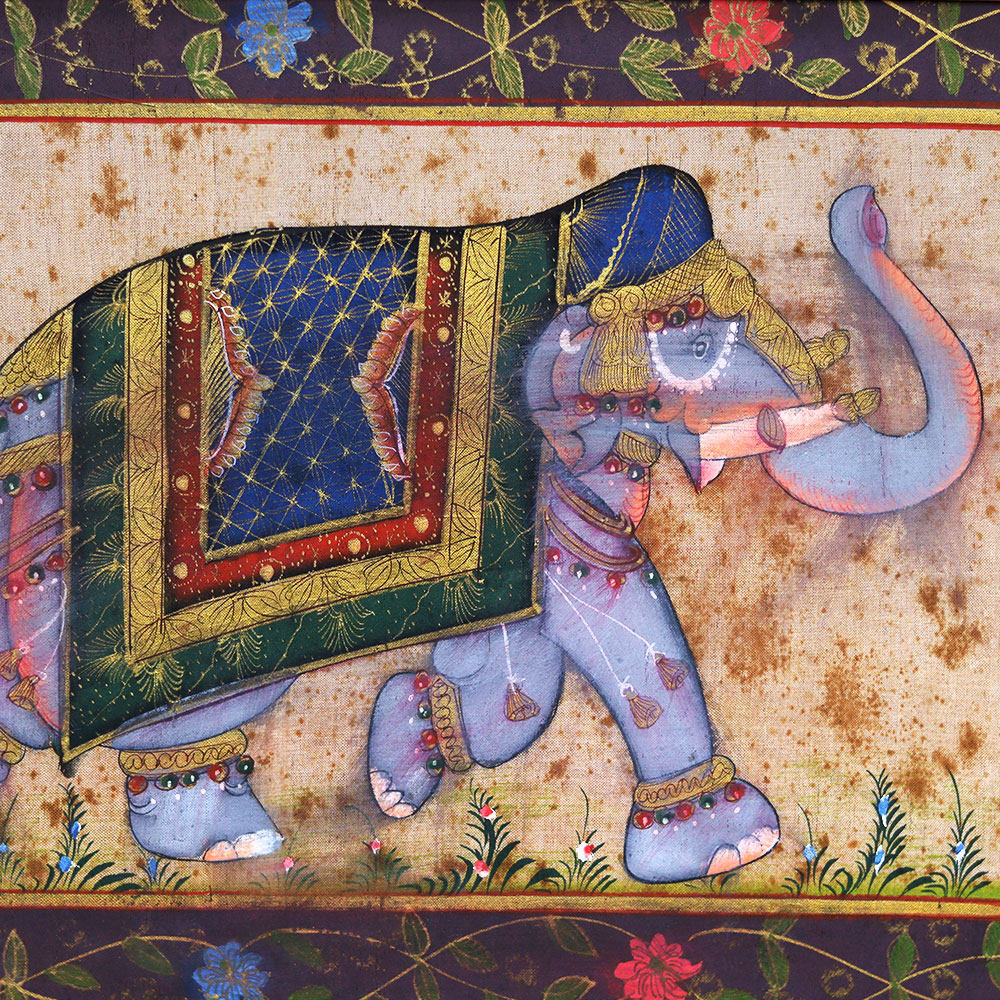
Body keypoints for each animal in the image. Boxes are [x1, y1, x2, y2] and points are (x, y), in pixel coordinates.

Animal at [0, 165, 980, 880]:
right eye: (695, 345)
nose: (868, 209)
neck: (550, 238)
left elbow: (575, 605)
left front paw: (413, 754)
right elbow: (601, 603)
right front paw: (732, 847)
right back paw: (226, 839)